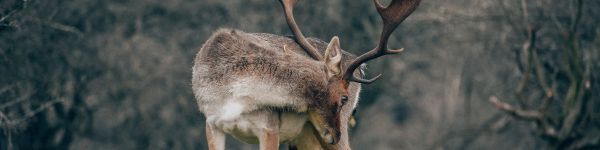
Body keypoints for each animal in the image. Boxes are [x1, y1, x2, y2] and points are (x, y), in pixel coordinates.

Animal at [193, 0, 422, 149]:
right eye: (343, 97)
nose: (334, 135)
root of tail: (357, 65)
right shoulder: (211, 123)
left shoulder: (269, 127)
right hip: (306, 137)